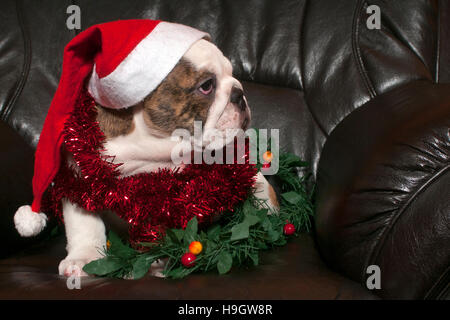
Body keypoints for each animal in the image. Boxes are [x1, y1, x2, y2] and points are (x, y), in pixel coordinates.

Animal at [58, 38, 278, 276]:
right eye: (206, 86)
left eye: (232, 73)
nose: (239, 93)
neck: (149, 148)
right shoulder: (78, 176)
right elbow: (84, 222)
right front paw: (84, 257)